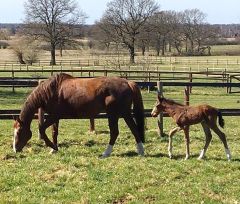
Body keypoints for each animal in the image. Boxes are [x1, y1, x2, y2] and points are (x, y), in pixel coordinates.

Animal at [13, 73, 144, 158]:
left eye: (19, 132)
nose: (15, 149)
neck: (51, 90)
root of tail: (127, 83)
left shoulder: (54, 116)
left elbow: (42, 128)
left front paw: (52, 146)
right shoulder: (55, 117)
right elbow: (54, 132)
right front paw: (53, 149)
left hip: (114, 114)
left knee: (115, 132)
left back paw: (106, 153)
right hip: (125, 113)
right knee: (134, 129)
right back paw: (140, 151)